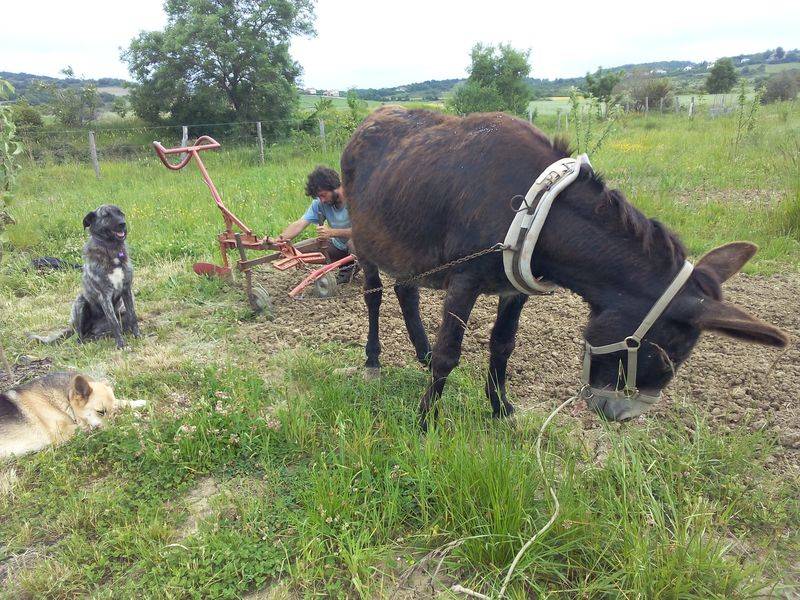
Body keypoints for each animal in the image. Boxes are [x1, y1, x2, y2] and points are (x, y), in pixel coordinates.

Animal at [0, 370, 146, 460]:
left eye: (113, 410)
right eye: (100, 412)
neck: (65, 399)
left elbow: (121, 402)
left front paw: (137, 403)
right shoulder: (65, 432)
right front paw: (131, 424)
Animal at [28, 205, 139, 350]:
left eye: (121, 213)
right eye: (106, 215)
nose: (123, 224)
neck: (111, 249)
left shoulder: (126, 290)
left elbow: (133, 316)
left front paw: (138, 336)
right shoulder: (104, 295)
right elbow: (114, 323)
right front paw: (121, 345)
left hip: (119, 315)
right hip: (81, 304)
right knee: (80, 335)